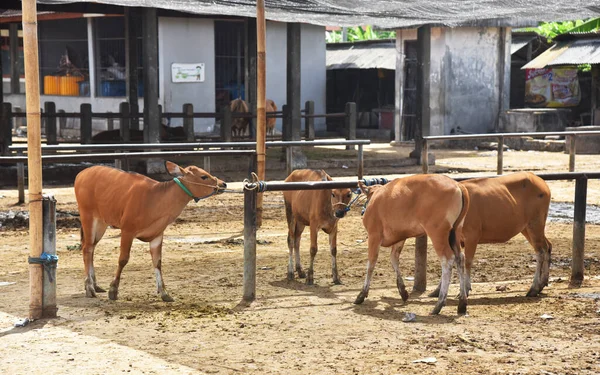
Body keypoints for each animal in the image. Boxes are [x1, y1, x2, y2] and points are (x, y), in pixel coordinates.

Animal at [354, 175, 472, 316]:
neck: (376, 197)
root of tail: (457, 185)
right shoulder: (400, 238)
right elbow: (394, 259)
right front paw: (403, 291)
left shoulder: (374, 236)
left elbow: (371, 264)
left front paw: (362, 294)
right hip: (455, 232)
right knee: (460, 258)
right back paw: (462, 303)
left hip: (438, 233)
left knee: (447, 261)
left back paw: (439, 304)